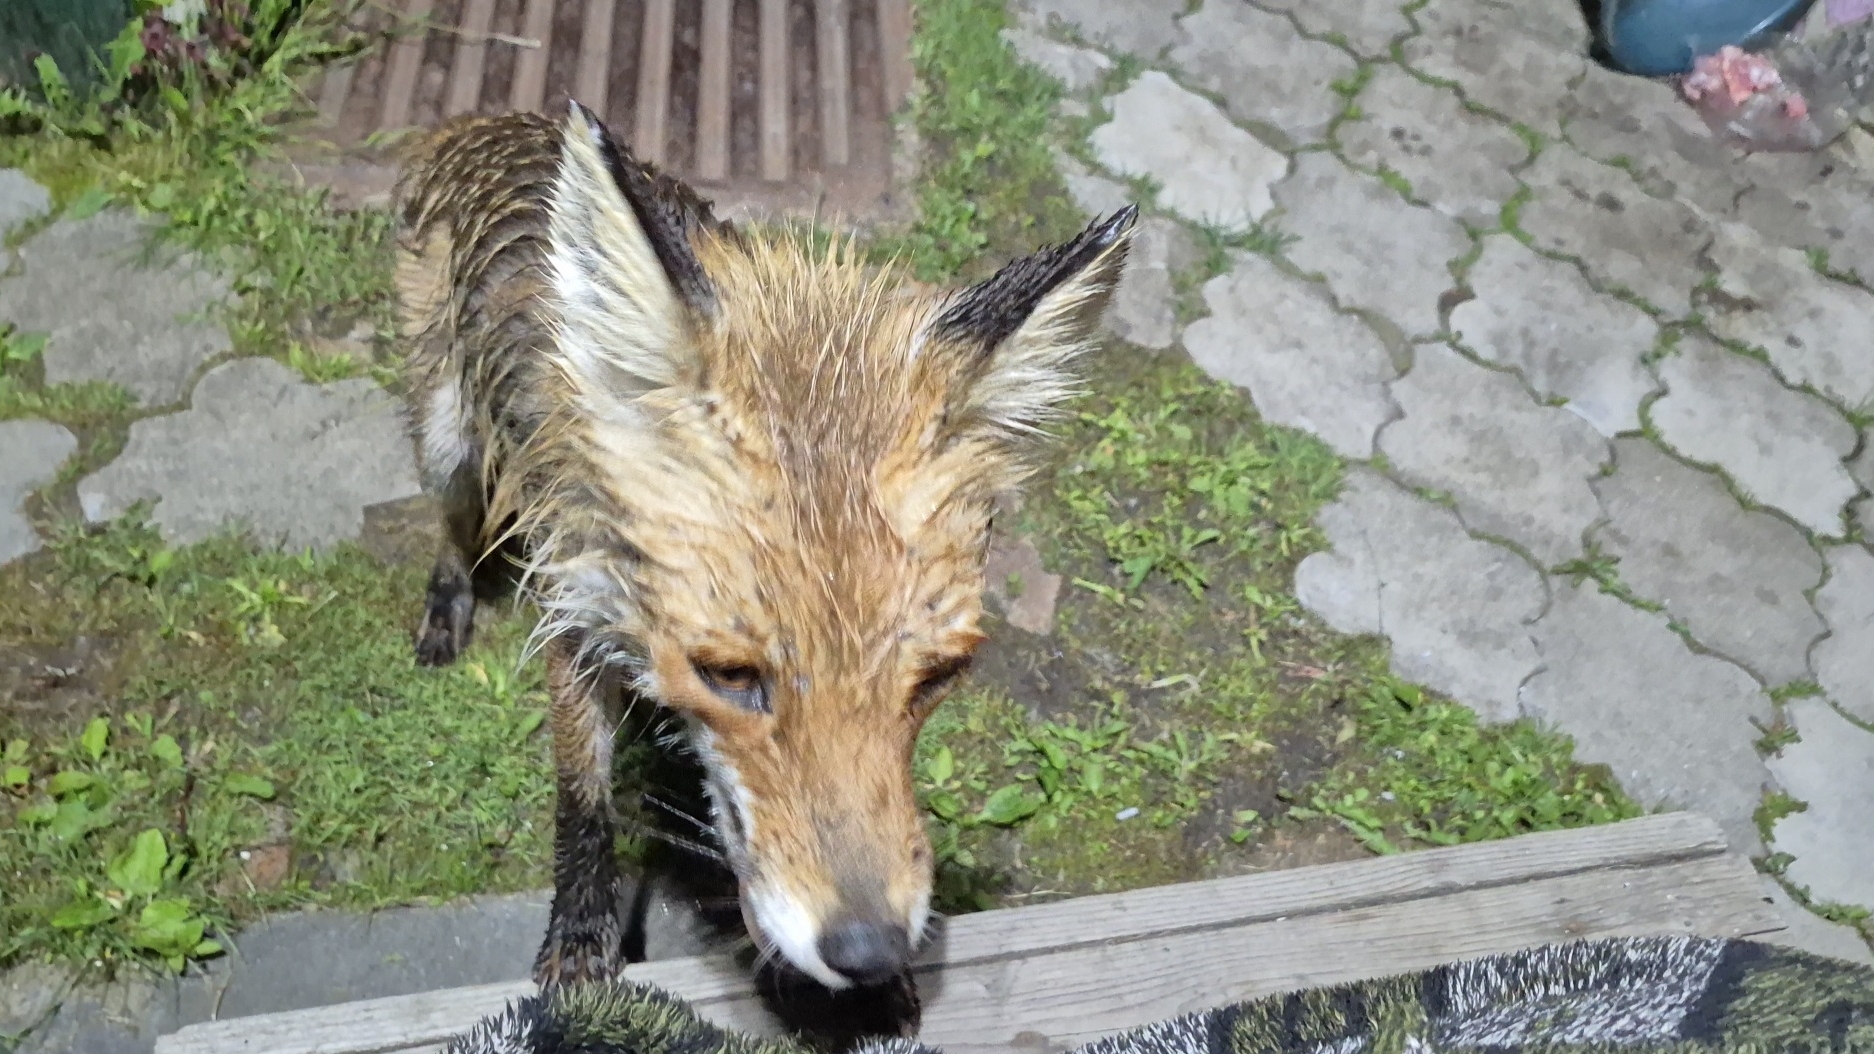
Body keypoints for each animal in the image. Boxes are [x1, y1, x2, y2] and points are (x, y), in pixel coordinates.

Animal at [389, 100, 1135, 992]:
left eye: (937, 678)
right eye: (731, 675)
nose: (871, 952)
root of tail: (501, 118)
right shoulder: (575, 604)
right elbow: (583, 798)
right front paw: (580, 942)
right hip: (449, 441)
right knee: (453, 522)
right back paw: (447, 606)